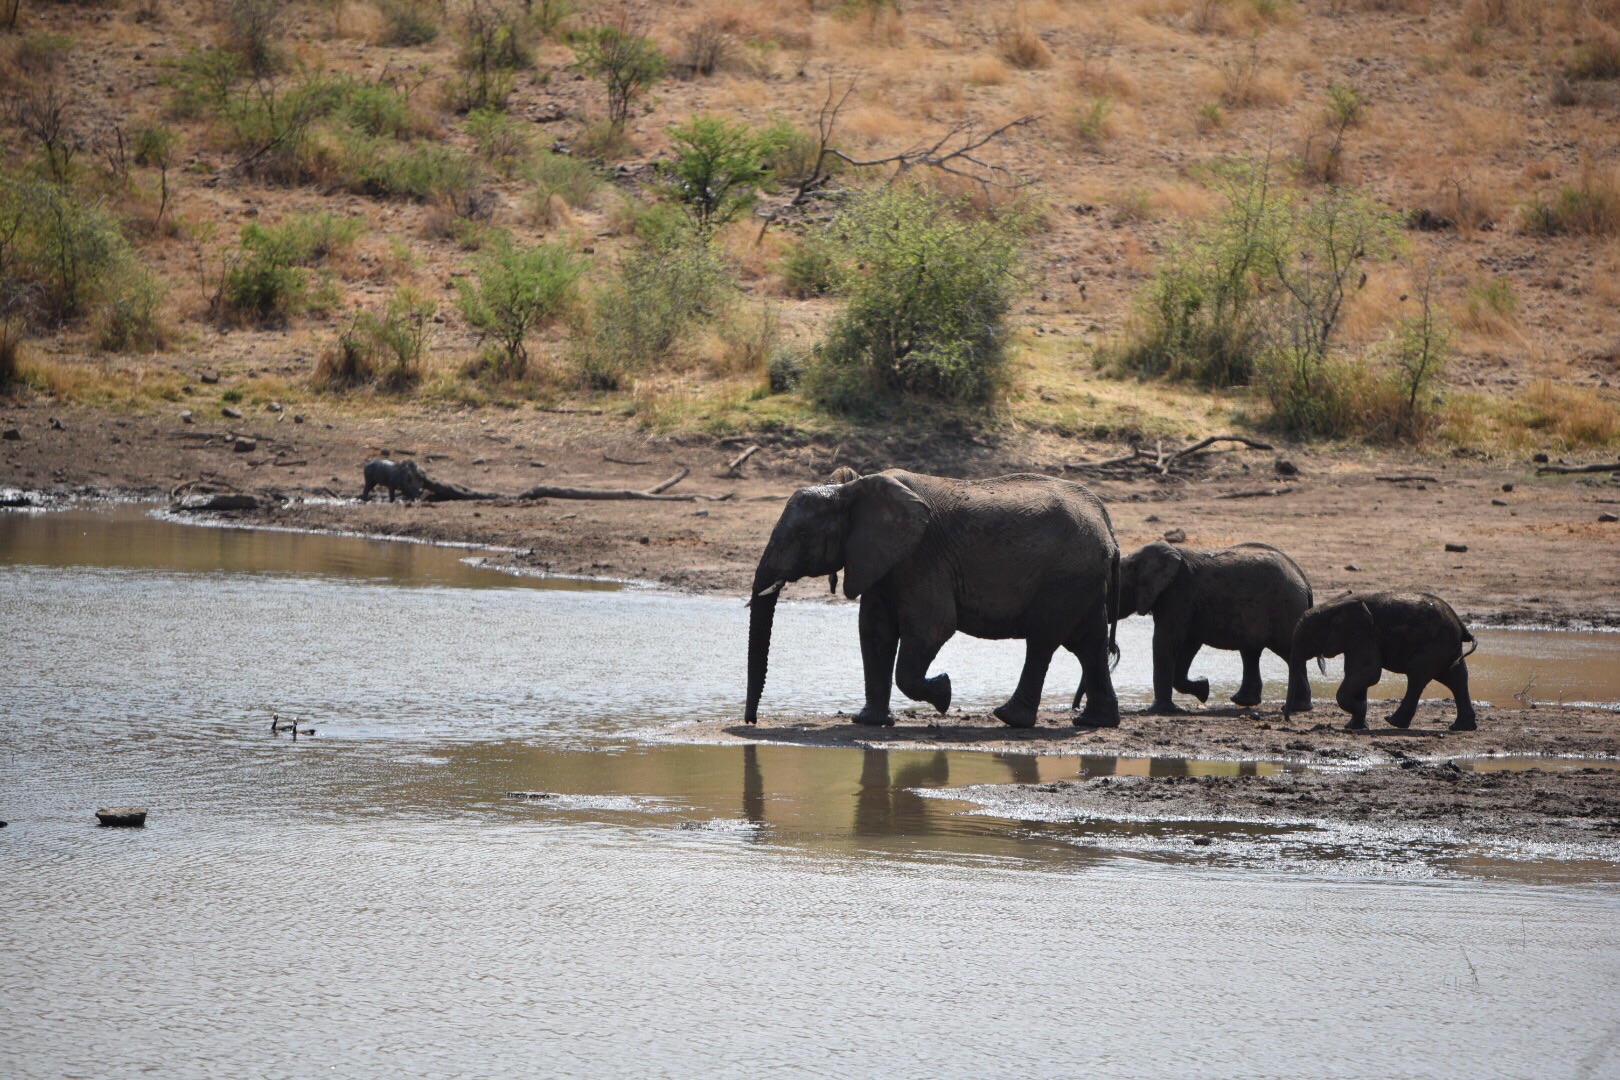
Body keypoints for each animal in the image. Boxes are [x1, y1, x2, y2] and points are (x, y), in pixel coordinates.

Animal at [745, 469, 1114, 731]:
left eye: (803, 536)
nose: (751, 721)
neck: (852, 490)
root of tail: (1104, 519)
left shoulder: (921, 554)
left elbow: (932, 626)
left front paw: (944, 692)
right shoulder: (881, 557)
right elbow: (875, 631)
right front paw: (869, 722)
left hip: (1065, 574)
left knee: (1043, 639)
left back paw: (1010, 718)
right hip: (1082, 576)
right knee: (1089, 643)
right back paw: (1093, 722)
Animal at [1075, 540, 1315, 718]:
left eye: (1109, 592)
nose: (1076, 709)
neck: (1136, 559)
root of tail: (1303, 578)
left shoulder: (1178, 593)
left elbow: (1165, 640)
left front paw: (1159, 709)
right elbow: (1188, 644)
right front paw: (1203, 689)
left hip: (1285, 607)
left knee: (1288, 651)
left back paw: (1295, 707)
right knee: (1253, 652)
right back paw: (1252, 702)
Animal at [1283, 592, 1477, 735]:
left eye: (1309, 635)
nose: (1290, 721)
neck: (1335, 604)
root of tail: (1460, 624)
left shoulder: (1366, 635)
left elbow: (1367, 674)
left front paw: (1359, 711)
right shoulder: (1356, 640)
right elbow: (1357, 674)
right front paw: (1355, 724)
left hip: (1435, 643)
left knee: (1417, 675)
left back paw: (1393, 722)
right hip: (1445, 645)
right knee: (1456, 677)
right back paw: (1461, 727)